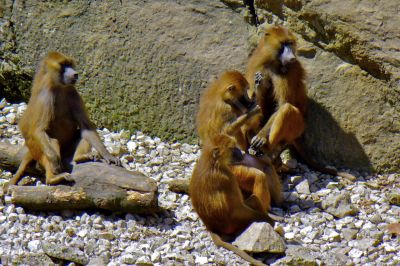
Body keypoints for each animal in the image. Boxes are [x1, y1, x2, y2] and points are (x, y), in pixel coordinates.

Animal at [9, 51, 120, 186]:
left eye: (70, 64)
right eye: (63, 65)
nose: (75, 74)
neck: (59, 87)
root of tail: (30, 150)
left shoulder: (73, 92)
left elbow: (86, 127)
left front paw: (108, 155)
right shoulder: (45, 98)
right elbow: (39, 130)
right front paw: (54, 162)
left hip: (67, 150)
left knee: (82, 134)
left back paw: (81, 157)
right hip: (37, 149)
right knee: (52, 142)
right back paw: (53, 178)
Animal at [245, 25, 354, 181]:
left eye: (290, 44)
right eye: (284, 44)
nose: (291, 57)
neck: (273, 62)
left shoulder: (290, 70)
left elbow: (282, 104)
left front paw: (261, 136)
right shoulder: (258, 67)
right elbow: (254, 105)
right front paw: (258, 85)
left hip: (298, 127)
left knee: (287, 109)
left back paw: (267, 150)